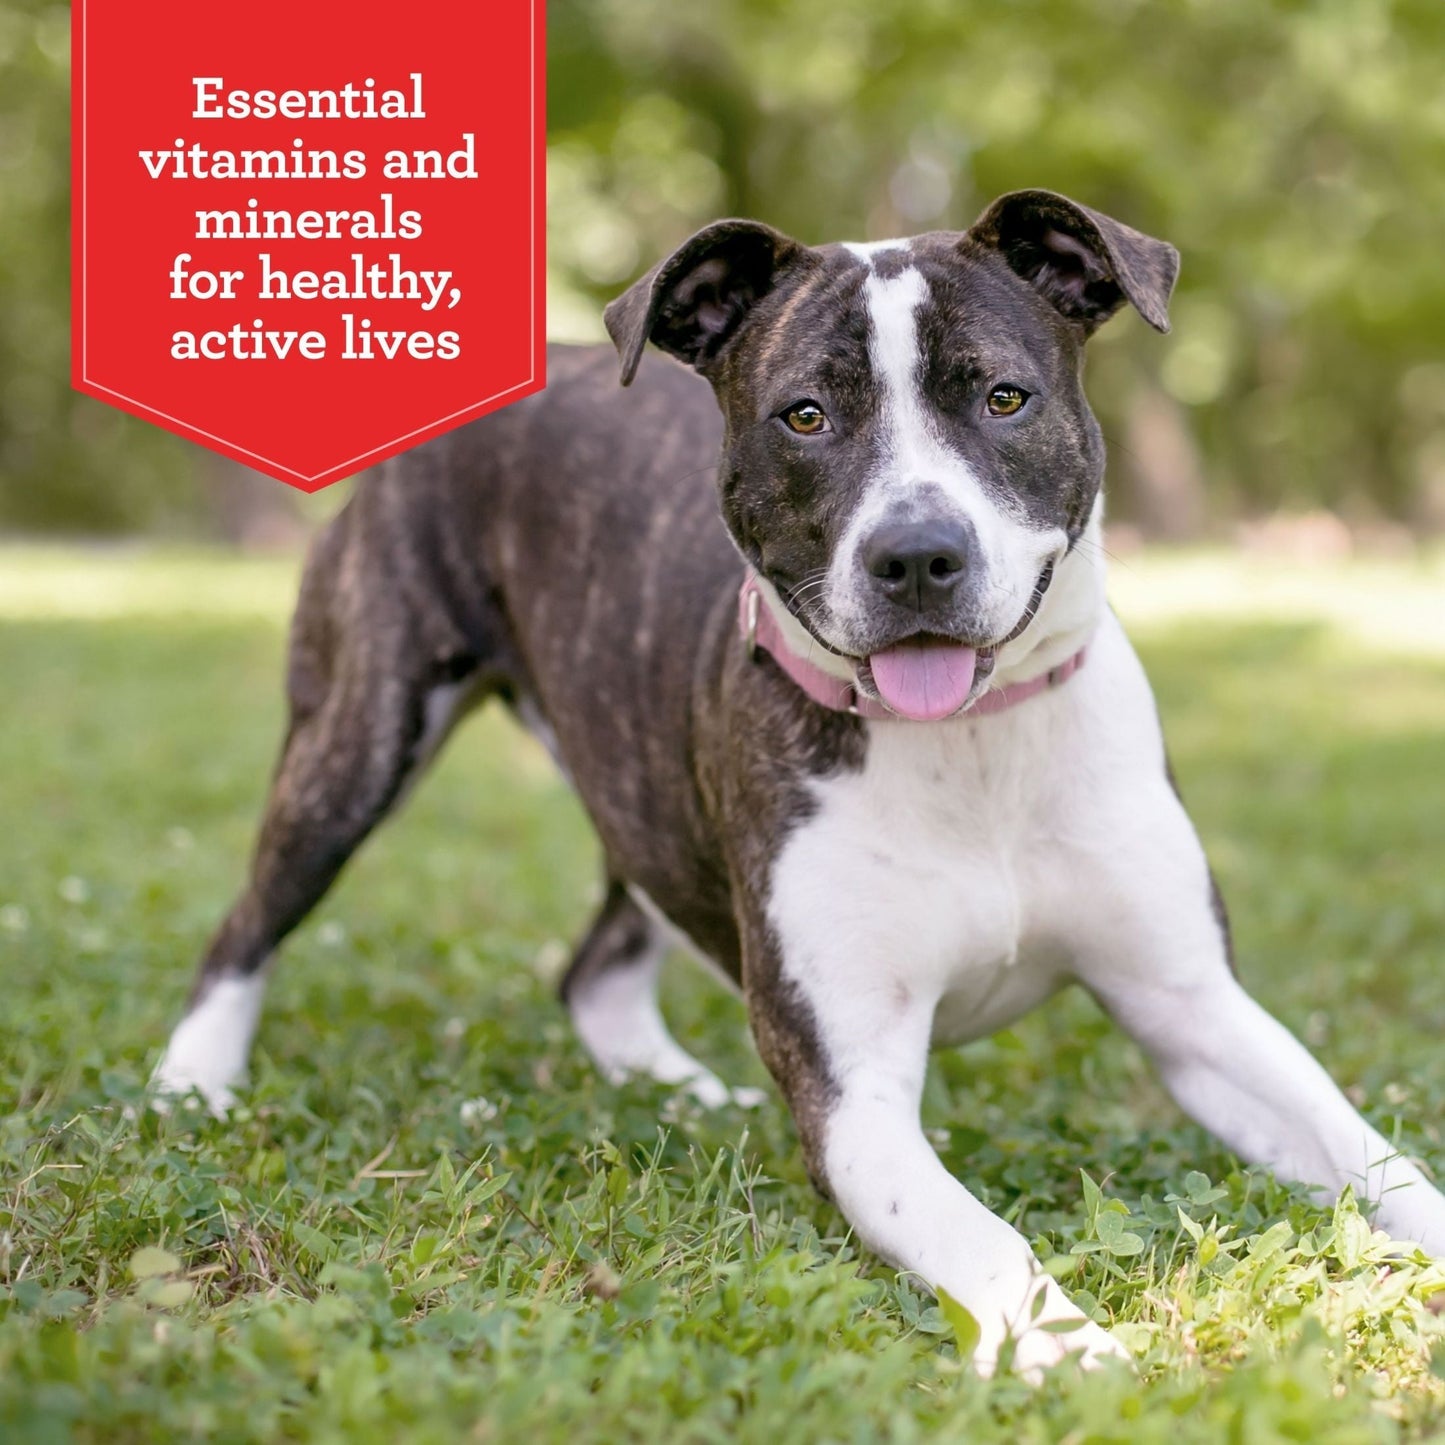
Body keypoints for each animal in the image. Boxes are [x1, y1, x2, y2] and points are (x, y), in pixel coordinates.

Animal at [149, 192, 1445, 1375]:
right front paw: (1071, 1351)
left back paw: (682, 1089)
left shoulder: (1194, 1008)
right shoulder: (856, 1101)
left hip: (640, 780)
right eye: (805, 416)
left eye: (1003, 397)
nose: (916, 554)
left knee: (597, 963)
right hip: (360, 735)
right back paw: (191, 1088)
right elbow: (989, 1241)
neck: (969, 747)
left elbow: (1371, 1150)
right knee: (248, 922)